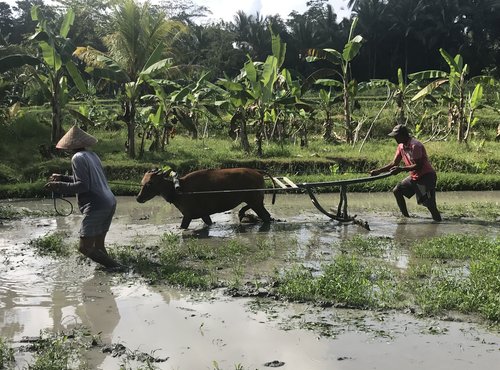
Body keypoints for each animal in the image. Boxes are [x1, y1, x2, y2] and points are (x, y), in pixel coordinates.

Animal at [136, 168, 274, 228]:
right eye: (142, 182)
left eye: (150, 183)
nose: (138, 198)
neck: (178, 189)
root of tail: (258, 172)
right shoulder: (204, 215)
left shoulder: (188, 215)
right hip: (256, 201)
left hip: (255, 201)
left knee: (266, 216)